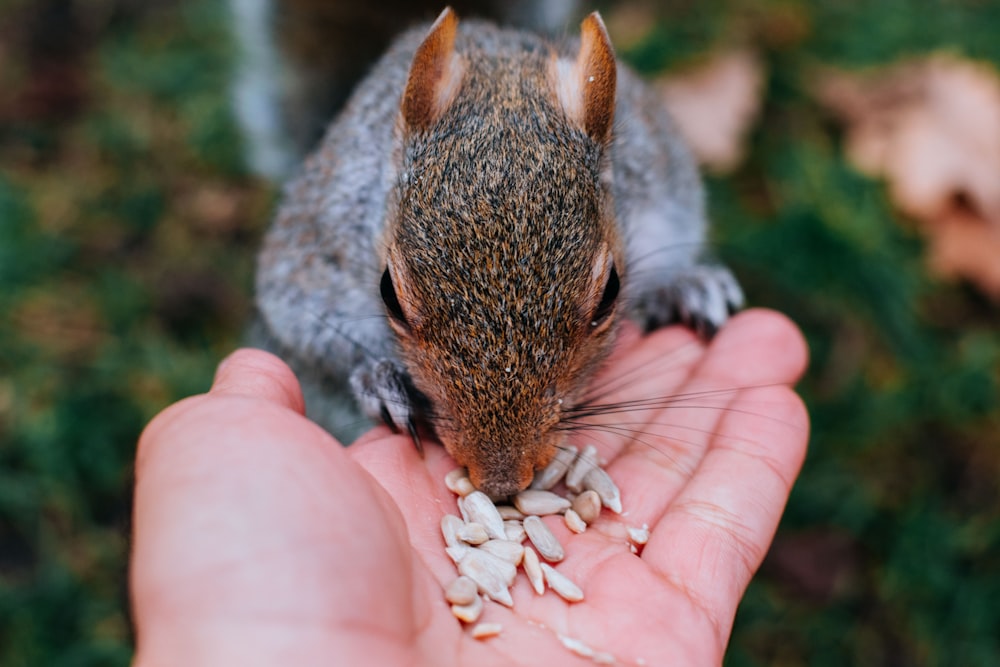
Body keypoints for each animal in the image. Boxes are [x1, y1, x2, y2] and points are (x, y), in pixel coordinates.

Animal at [254, 5, 748, 496]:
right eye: (388, 294)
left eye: (611, 293)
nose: (501, 481)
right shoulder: (315, 249)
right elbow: (304, 324)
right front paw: (379, 380)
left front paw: (681, 286)